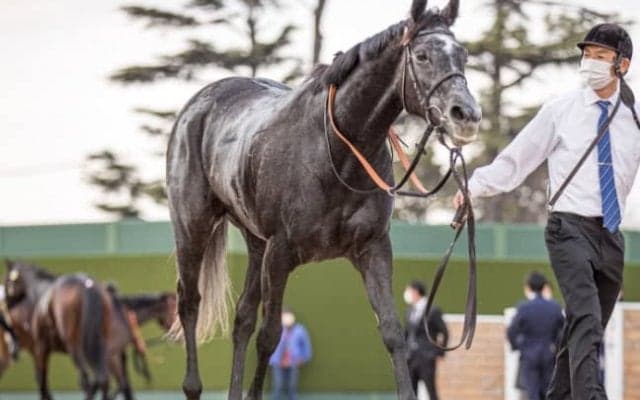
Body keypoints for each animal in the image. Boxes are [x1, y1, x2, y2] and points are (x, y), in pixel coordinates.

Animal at [4, 260, 112, 400]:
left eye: (7, 281)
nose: (5, 303)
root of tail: (87, 287)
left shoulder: (40, 348)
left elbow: (42, 381)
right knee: (102, 378)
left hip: (75, 349)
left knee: (86, 379)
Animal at [166, 0, 481, 398]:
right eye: (422, 56)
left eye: (463, 55)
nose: (466, 115)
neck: (336, 150)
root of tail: (199, 104)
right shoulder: (281, 251)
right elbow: (270, 337)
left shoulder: (372, 248)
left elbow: (393, 332)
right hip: (193, 227)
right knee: (190, 303)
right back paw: (192, 385)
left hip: (255, 243)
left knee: (242, 318)